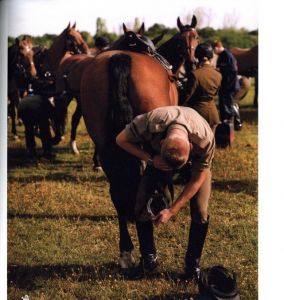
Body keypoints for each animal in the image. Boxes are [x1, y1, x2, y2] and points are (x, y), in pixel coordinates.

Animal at [80, 17, 199, 268]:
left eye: (196, 38)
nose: (192, 62)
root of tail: (120, 58)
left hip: (105, 145)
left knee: (117, 192)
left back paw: (127, 251)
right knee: (147, 184)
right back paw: (149, 253)